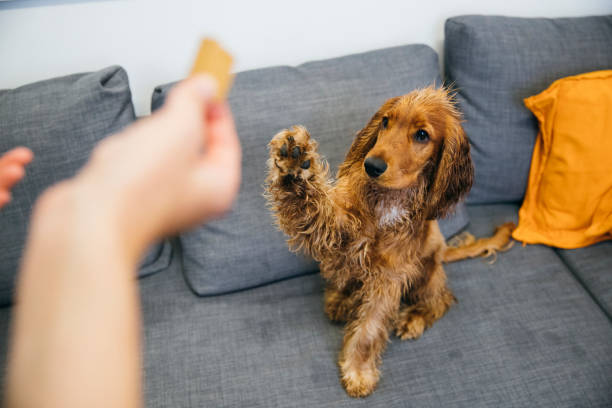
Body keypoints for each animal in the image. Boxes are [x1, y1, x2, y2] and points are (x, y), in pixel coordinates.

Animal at [266, 87, 512, 396]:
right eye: (385, 122)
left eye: (422, 135)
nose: (370, 165)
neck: (387, 204)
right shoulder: (338, 229)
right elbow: (313, 207)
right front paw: (293, 163)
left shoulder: (388, 278)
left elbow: (369, 329)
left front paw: (358, 371)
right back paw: (340, 299)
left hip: (426, 273)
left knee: (442, 299)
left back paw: (414, 319)